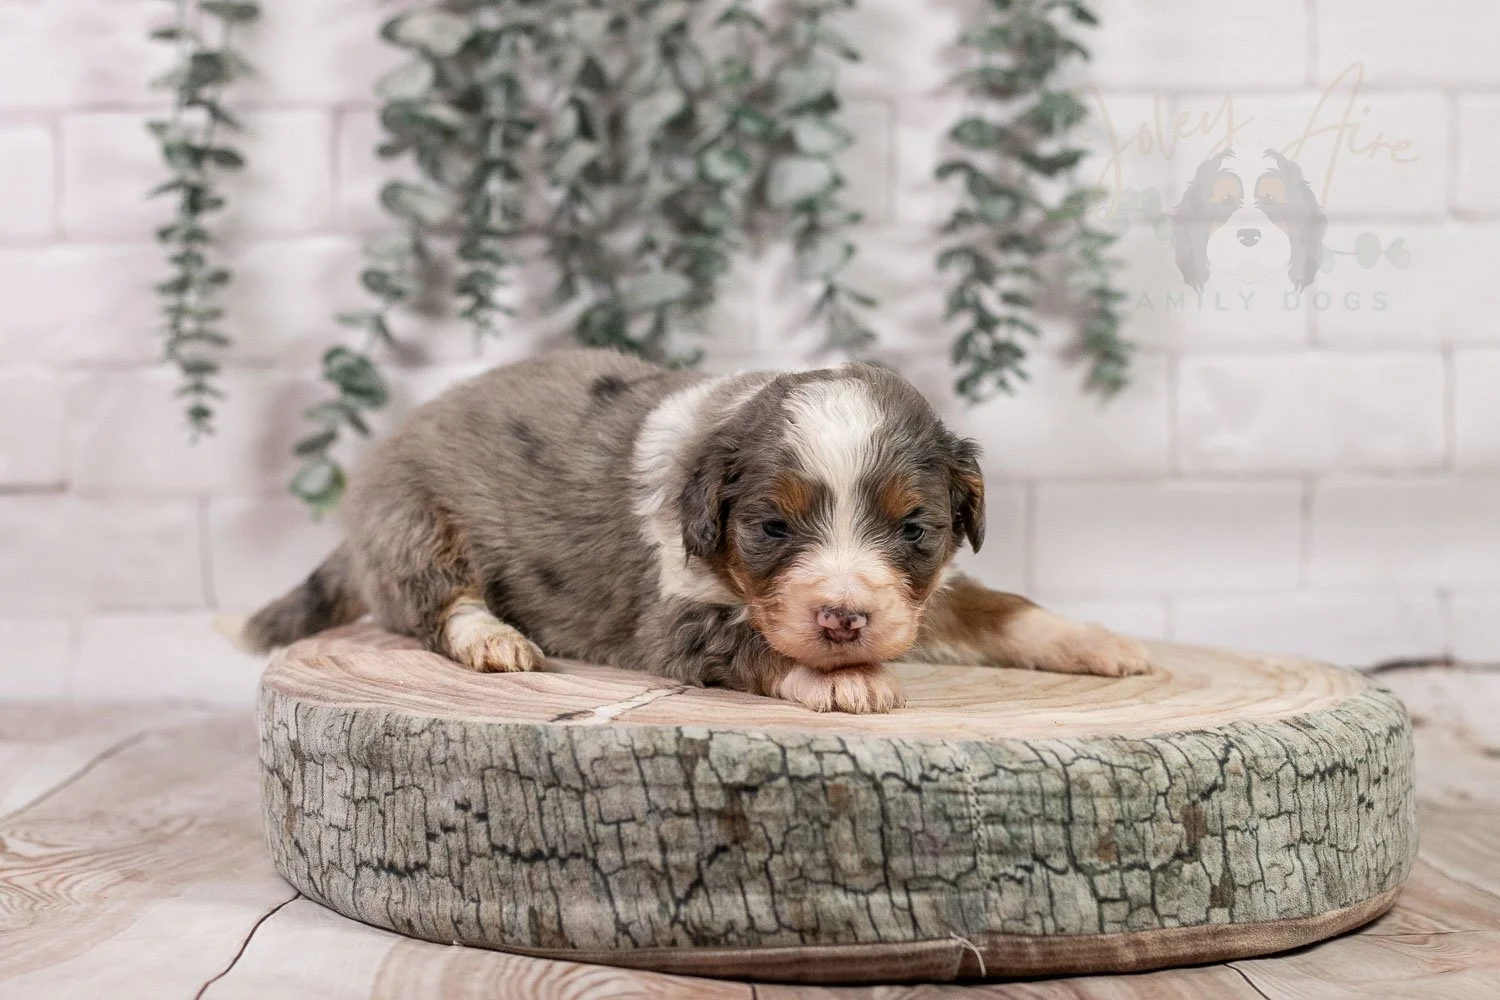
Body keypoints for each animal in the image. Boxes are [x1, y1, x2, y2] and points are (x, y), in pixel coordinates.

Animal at [243, 350, 1150, 713]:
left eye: (915, 525)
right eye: (772, 526)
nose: (843, 621)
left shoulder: (920, 595)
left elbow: (1002, 605)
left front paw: (1102, 641)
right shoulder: (672, 619)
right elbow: (753, 641)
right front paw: (845, 681)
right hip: (413, 520)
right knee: (436, 602)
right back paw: (493, 639)